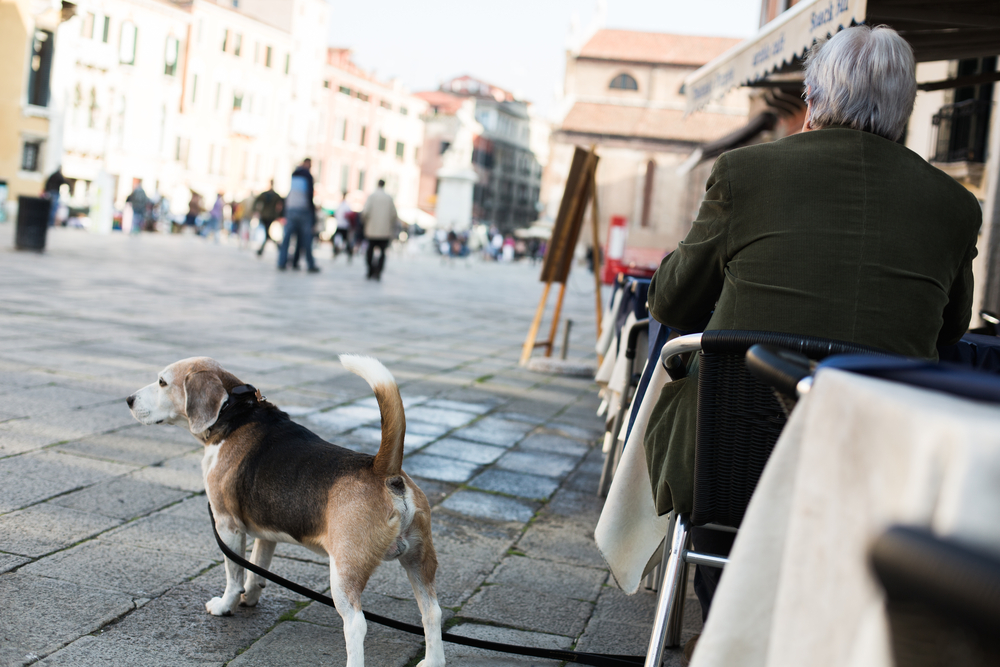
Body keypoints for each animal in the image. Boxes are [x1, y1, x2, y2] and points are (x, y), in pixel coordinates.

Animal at [124, 358, 442, 667]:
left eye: (162, 382)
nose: (128, 399)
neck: (235, 412)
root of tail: (382, 469)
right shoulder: (267, 534)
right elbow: (256, 568)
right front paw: (250, 598)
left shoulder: (227, 526)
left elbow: (234, 574)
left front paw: (226, 606)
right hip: (419, 562)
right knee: (432, 613)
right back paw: (431, 661)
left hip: (344, 573)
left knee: (356, 624)